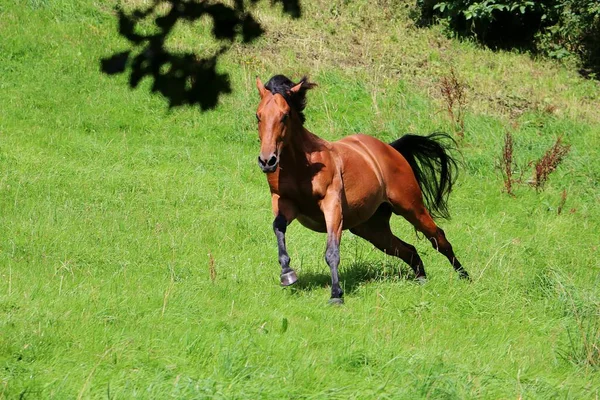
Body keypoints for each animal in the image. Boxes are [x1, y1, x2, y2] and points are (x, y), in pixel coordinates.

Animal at [253, 74, 468, 304]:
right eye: (258, 116)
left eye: (284, 116)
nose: (267, 161)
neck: (304, 164)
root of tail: (391, 149)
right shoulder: (285, 203)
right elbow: (278, 227)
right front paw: (287, 273)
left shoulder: (331, 205)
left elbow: (332, 251)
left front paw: (336, 294)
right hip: (372, 228)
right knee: (408, 250)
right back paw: (421, 280)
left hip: (411, 207)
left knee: (439, 239)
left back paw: (465, 277)